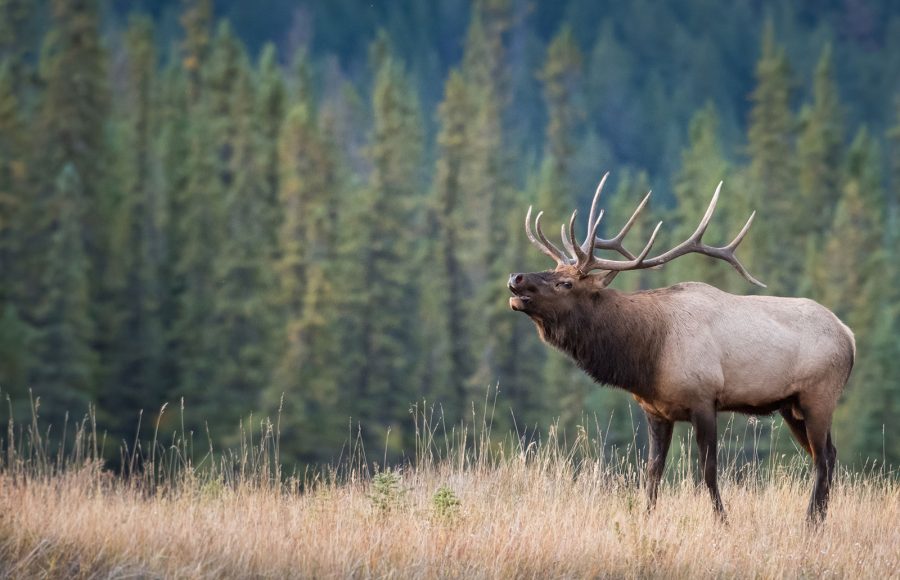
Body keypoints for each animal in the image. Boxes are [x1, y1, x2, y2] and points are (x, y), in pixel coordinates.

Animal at [510, 172, 856, 520]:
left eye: (565, 283)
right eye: (554, 270)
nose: (516, 278)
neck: (647, 354)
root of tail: (850, 336)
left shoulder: (704, 399)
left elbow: (708, 470)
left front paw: (722, 520)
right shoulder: (655, 410)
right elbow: (653, 471)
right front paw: (647, 516)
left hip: (819, 396)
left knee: (824, 458)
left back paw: (811, 521)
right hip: (791, 406)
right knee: (827, 455)